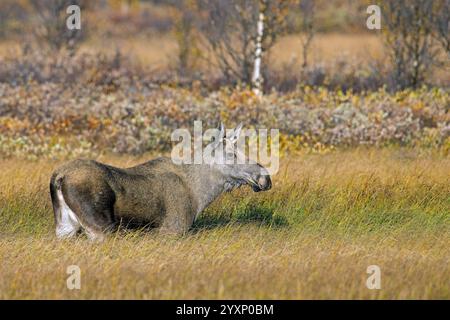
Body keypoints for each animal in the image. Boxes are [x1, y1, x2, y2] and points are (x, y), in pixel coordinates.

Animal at [49, 123, 270, 240]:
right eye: (232, 154)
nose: (265, 178)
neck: (200, 194)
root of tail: (59, 178)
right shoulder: (172, 230)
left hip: (64, 227)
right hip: (100, 227)